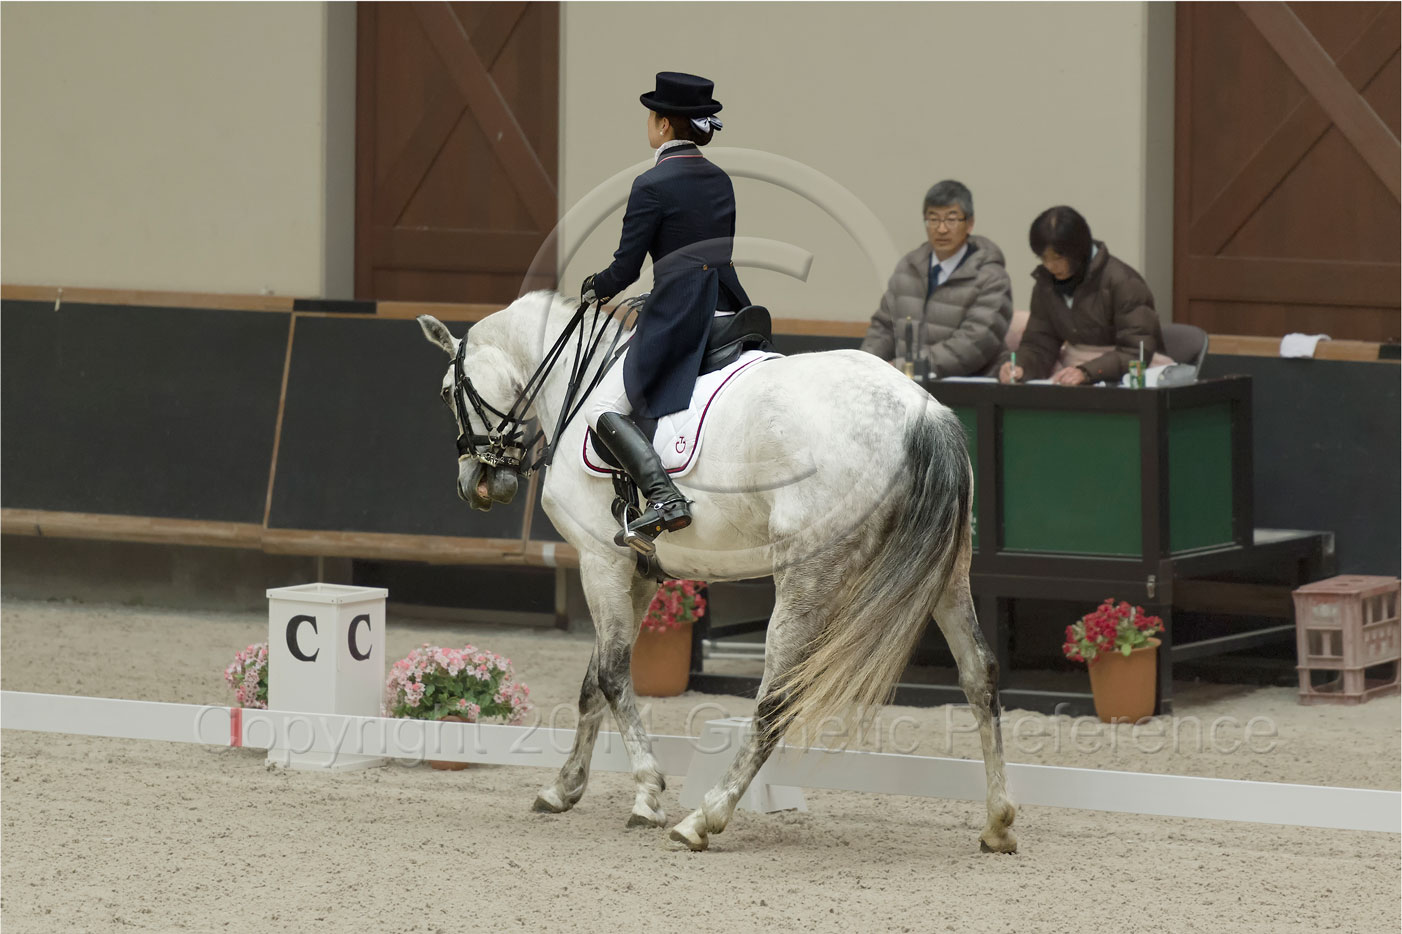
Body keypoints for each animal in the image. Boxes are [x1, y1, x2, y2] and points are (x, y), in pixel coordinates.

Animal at [409, 291, 1015, 852]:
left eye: (444, 392)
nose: (475, 485)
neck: (576, 383)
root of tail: (921, 413)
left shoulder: (599, 560)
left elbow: (611, 675)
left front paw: (647, 795)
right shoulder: (639, 570)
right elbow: (591, 684)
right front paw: (563, 788)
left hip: (809, 578)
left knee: (776, 700)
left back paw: (703, 818)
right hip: (947, 575)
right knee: (980, 673)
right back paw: (998, 824)